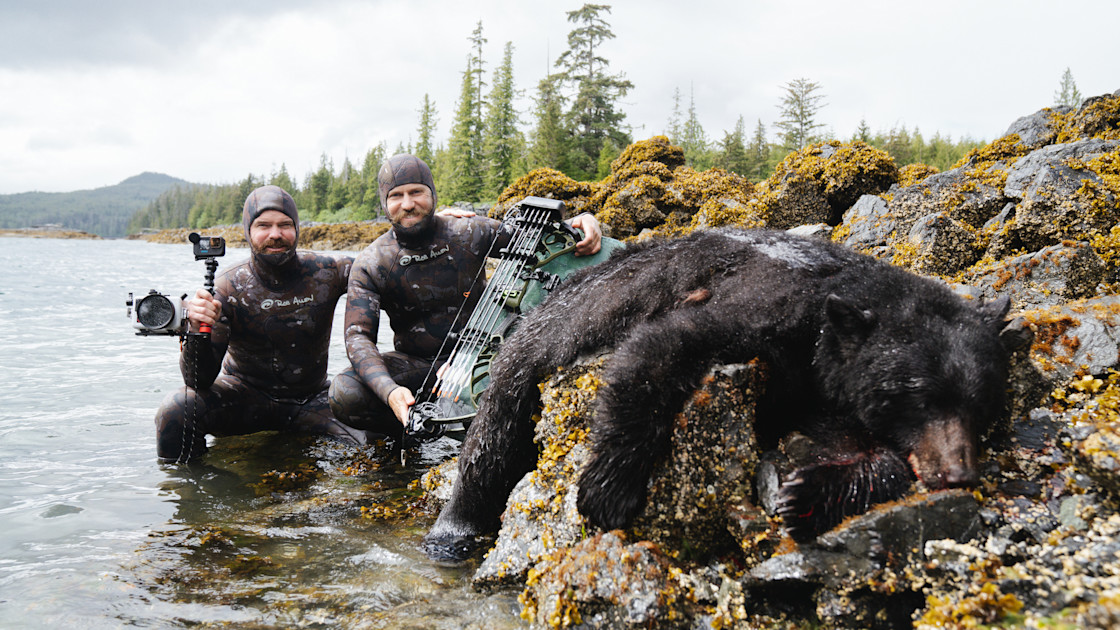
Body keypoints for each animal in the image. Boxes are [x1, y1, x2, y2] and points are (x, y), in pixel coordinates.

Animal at [423, 226, 1025, 553]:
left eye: (982, 403)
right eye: (918, 395)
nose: (960, 472)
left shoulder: (821, 382)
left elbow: (840, 437)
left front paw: (805, 493)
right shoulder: (768, 308)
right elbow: (662, 345)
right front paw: (607, 490)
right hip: (539, 338)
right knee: (494, 433)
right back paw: (452, 531)